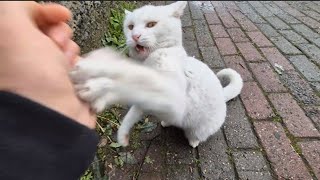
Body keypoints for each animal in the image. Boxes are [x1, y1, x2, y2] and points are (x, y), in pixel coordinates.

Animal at [69, 1, 242, 148]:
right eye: (130, 27)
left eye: (151, 24)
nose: (135, 36)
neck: (150, 60)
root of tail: (222, 94)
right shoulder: (145, 101)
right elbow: (132, 107)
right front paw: (122, 134)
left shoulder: (172, 98)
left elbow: (124, 80)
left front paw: (96, 81)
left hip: (200, 127)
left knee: (196, 134)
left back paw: (193, 141)